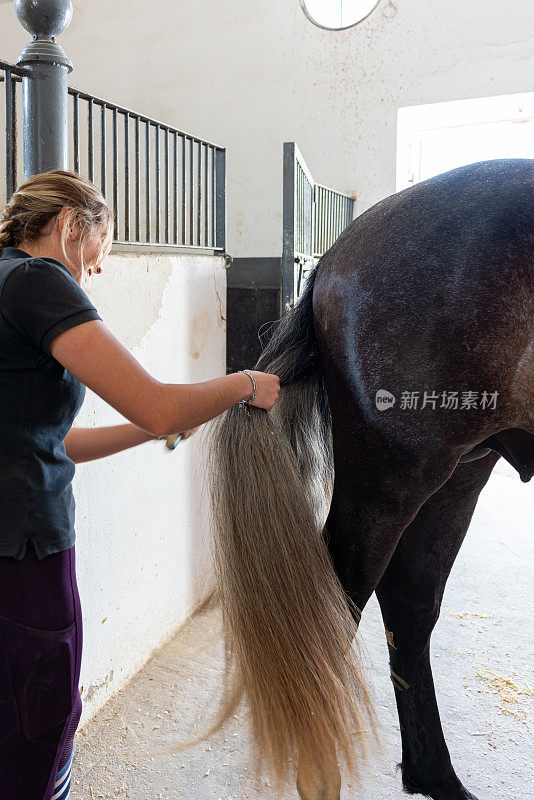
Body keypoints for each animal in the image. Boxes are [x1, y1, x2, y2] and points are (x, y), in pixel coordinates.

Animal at [203, 158, 532, 800]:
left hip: (461, 470)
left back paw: (435, 776)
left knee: (409, 601)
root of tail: (337, 257)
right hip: (396, 474)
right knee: (341, 602)